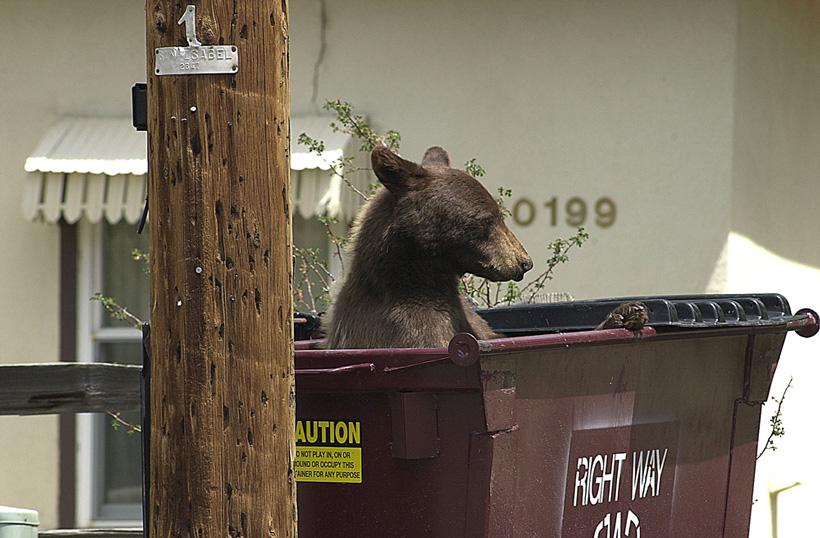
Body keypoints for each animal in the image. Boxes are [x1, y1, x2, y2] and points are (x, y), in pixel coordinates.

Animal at [323, 145, 647, 349]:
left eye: (500, 214)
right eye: (487, 219)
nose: (524, 262)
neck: (421, 282)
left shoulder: (472, 322)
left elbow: (490, 333)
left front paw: (626, 313)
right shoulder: (405, 329)